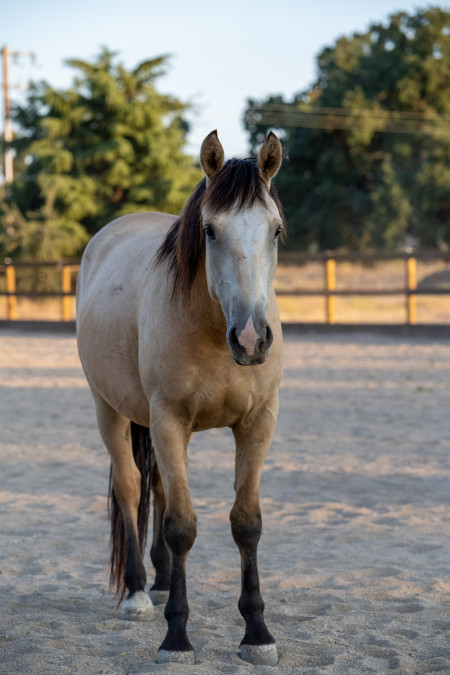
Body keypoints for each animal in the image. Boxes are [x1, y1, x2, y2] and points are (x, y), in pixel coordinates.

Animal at [74, 129, 284, 668]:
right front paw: (177, 638)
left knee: (159, 490)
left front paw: (257, 634)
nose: (251, 339)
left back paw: (165, 581)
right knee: (132, 489)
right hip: (109, 411)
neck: (211, 327)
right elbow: (182, 527)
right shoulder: (167, 419)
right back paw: (138, 593)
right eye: (209, 231)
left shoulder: (258, 423)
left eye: (276, 230)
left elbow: (247, 523)